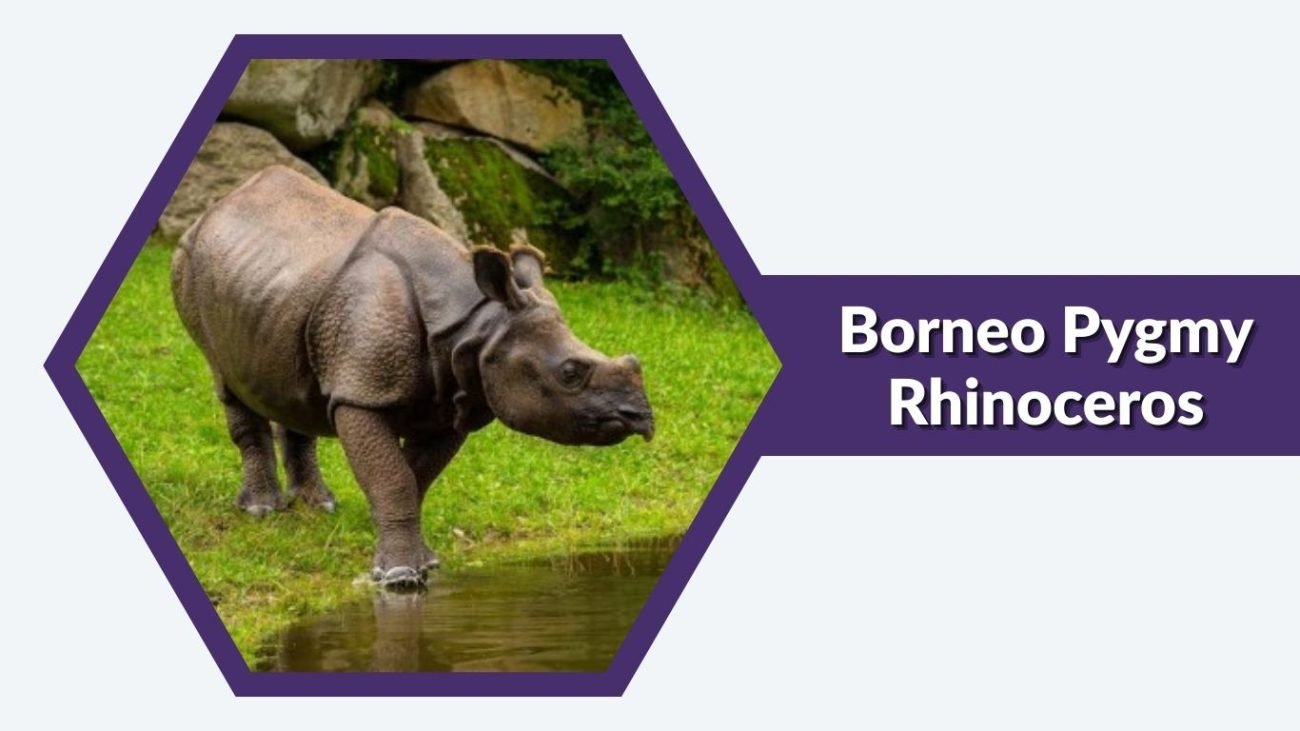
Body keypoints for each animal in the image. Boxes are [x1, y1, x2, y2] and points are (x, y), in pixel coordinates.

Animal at [171, 165, 654, 588]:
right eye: (571, 373)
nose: (642, 419)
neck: (477, 325)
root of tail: (219, 205)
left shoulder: (457, 399)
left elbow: (414, 477)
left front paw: (423, 563)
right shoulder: (362, 393)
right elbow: (395, 478)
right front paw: (400, 578)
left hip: (276, 292)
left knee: (290, 386)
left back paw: (319, 505)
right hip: (187, 263)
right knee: (227, 381)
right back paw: (262, 511)